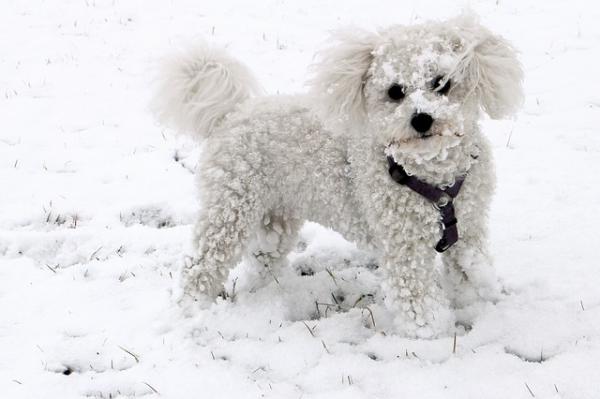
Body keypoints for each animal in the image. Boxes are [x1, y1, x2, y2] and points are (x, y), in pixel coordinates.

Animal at [154, 16, 520, 340]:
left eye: (441, 83)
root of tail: (233, 113)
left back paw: (269, 297)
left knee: (262, 260)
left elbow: (468, 272)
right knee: (199, 265)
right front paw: (432, 335)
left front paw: (475, 306)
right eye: (395, 91)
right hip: (229, 211)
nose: (421, 119)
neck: (433, 177)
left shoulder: (469, 231)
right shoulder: (404, 248)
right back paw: (191, 309)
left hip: (276, 216)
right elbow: (417, 298)